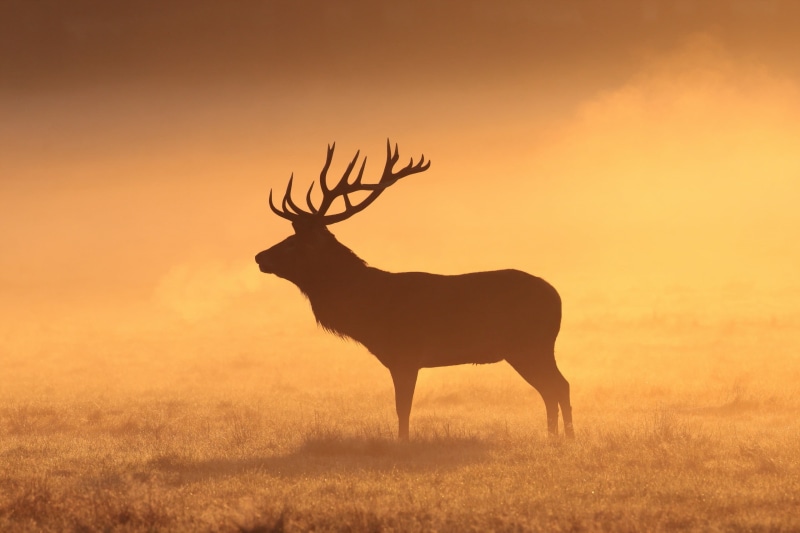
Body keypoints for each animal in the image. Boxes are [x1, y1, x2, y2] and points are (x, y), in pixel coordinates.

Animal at [255, 140, 573, 440]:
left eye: (293, 243)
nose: (259, 257)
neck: (368, 308)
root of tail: (557, 297)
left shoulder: (405, 354)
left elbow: (402, 407)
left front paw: (403, 442)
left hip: (529, 344)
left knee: (558, 385)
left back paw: (566, 437)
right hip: (534, 347)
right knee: (554, 387)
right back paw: (555, 437)